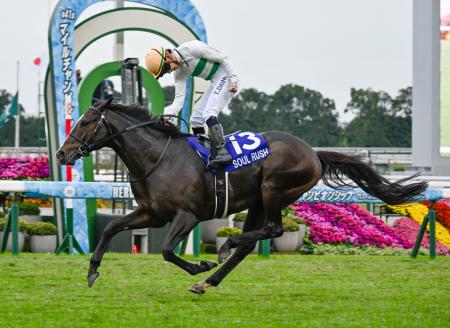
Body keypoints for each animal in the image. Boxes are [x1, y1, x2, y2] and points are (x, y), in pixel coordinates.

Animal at [57, 98, 428, 294]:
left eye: (87, 121)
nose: (62, 154)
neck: (156, 158)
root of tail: (314, 153)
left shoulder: (187, 215)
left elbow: (166, 250)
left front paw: (200, 263)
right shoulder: (153, 214)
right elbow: (109, 228)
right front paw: (92, 272)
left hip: (274, 189)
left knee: (272, 230)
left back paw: (222, 251)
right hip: (258, 201)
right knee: (251, 242)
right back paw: (209, 279)